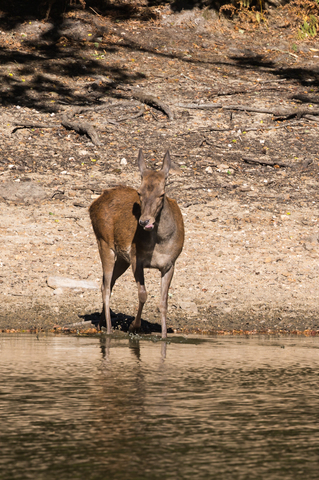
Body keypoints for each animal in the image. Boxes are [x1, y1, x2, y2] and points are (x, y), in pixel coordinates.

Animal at [89, 149, 185, 338]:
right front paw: (134, 326)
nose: (144, 221)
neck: (161, 244)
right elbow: (143, 294)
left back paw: (100, 325)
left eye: (162, 194)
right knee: (105, 287)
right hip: (103, 242)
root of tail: (92, 205)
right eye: (139, 193)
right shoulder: (136, 258)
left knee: (108, 283)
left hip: (121, 258)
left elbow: (163, 303)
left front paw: (164, 336)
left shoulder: (170, 264)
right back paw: (108, 330)